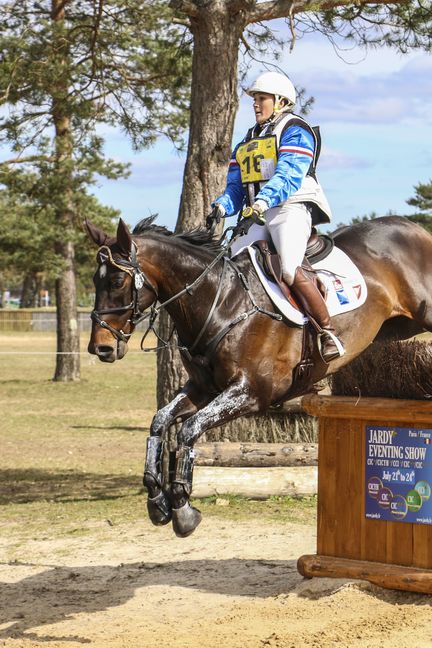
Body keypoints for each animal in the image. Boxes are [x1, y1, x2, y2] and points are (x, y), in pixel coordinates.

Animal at [86, 218, 432, 536]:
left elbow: (188, 430)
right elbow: (160, 422)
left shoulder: (250, 392)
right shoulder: (203, 389)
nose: (100, 348)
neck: (220, 303)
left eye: (116, 281)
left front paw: (182, 509)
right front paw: (157, 501)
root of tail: (414, 227)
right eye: (94, 280)